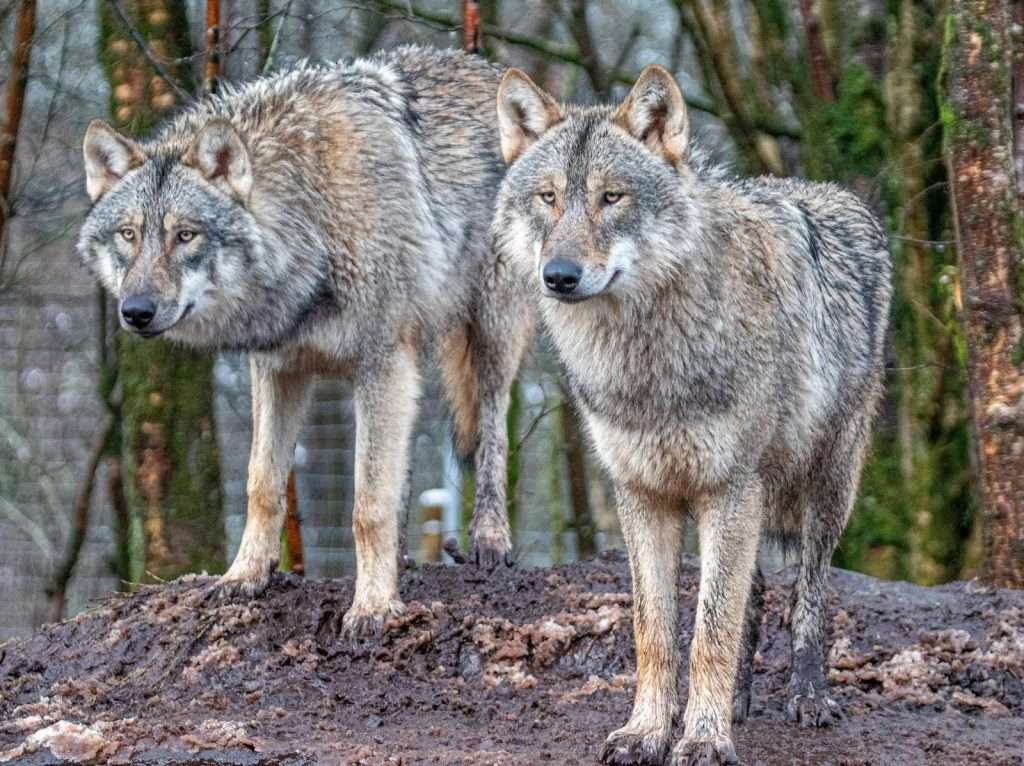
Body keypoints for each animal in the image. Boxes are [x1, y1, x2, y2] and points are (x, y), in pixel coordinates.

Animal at [77, 45, 533, 637]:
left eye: (185, 235)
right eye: (128, 236)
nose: (136, 312)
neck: (312, 215)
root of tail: (486, 66)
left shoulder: (380, 361)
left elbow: (367, 504)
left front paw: (373, 605)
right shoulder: (279, 368)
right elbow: (262, 484)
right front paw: (244, 576)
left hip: (490, 335)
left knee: (493, 429)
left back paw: (490, 540)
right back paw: (404, 556)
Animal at [493, 66, 891, 765]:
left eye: (612, 197)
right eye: (548, 198)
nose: (559, 275)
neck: (646, 364)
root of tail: (836, 195)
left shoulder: (728, 490)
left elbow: (709, 633)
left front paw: (703, 739)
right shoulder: (641, 492)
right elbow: (657, 631)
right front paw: (648, 731)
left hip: (825, 487)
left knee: (808, 596)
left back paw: (807, 697)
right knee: (752, 600)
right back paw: (738, 701)